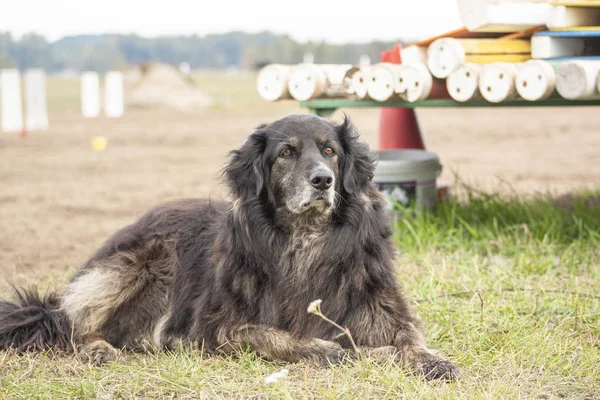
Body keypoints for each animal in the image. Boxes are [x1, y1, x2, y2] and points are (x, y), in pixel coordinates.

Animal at [1, 113, 460, 382]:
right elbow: (275, 336)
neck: (304, 240)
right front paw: (332, 350)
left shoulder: (380, 307)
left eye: (330, 151)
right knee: (75, 323)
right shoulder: (215, 327)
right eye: (286, 153)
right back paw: (98, 350)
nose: (323, 180)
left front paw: (431, 360)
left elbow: (409, 339)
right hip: (143, 262)